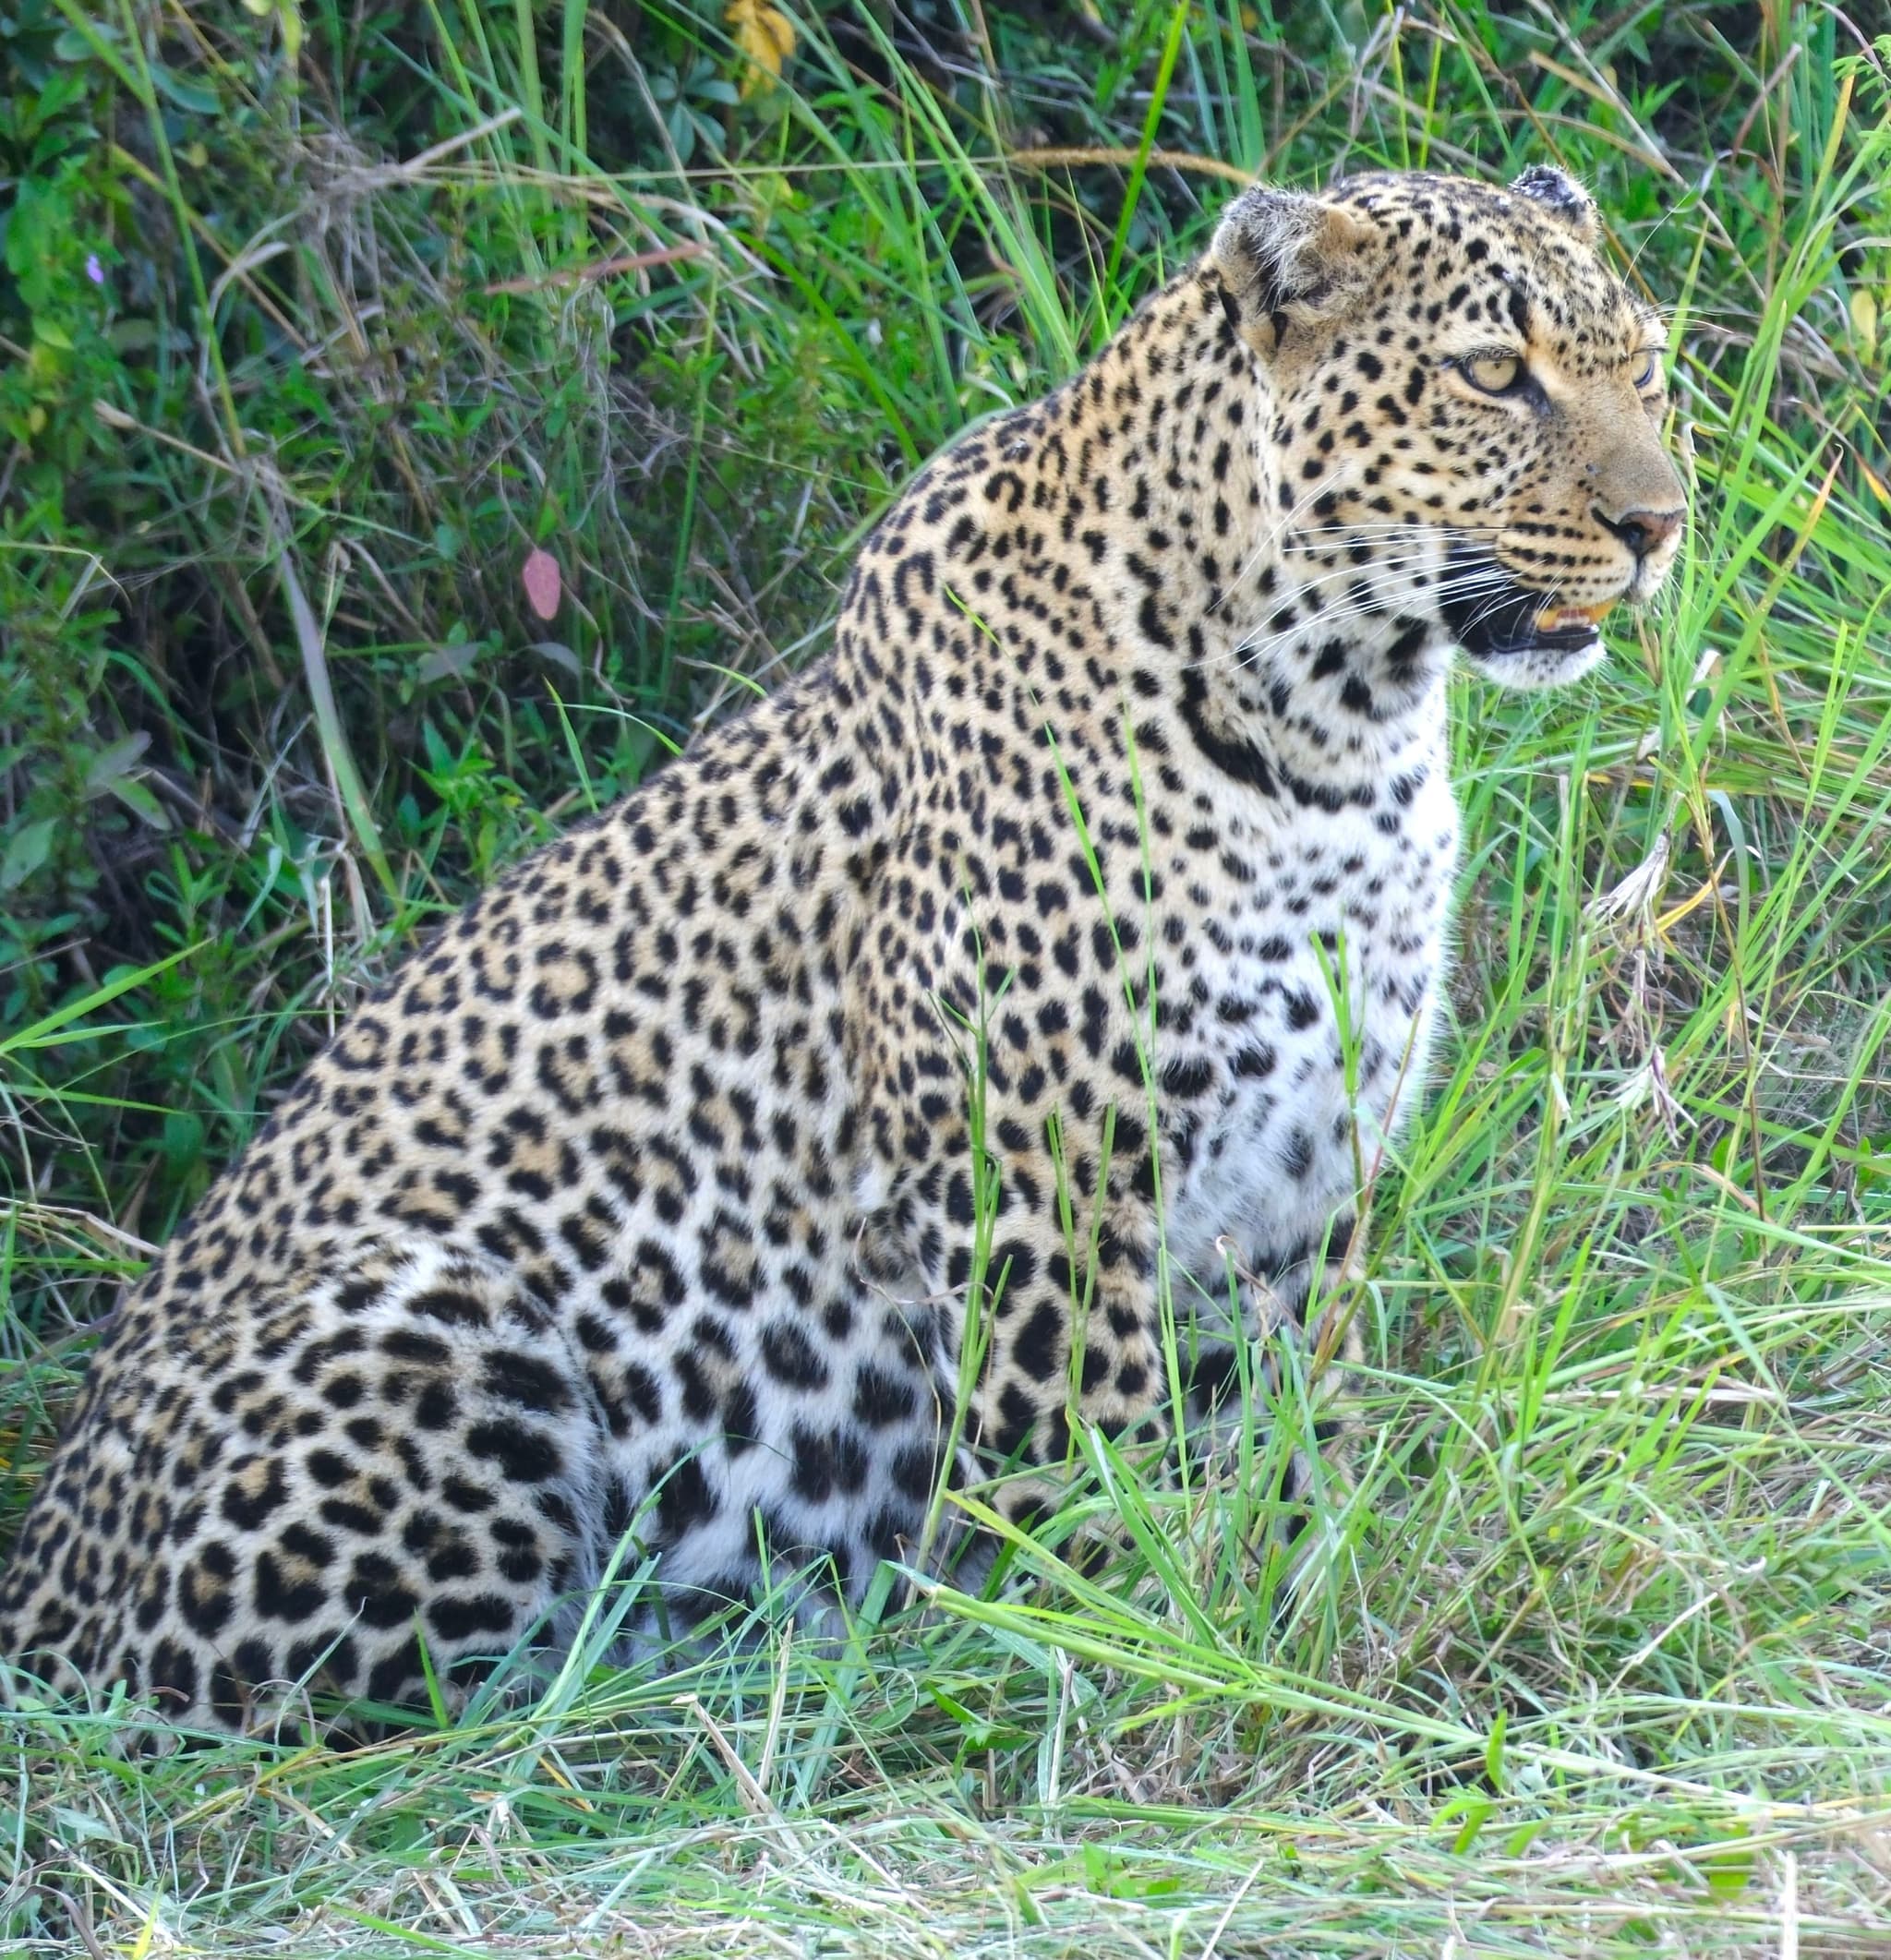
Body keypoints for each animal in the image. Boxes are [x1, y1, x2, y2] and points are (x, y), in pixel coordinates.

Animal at [0, 165, 1684, 1732]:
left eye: (1646, 365)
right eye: (1492, 372)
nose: (1660, 526)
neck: (1341, 731)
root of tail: (33, 1592)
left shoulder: (1301, 1180)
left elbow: (1279, 1444)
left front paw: (1277, 1610)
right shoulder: (1049, 1193)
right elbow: (1092, 1465)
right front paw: (1130, 1648)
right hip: (436, 1326)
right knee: (380, 1711)